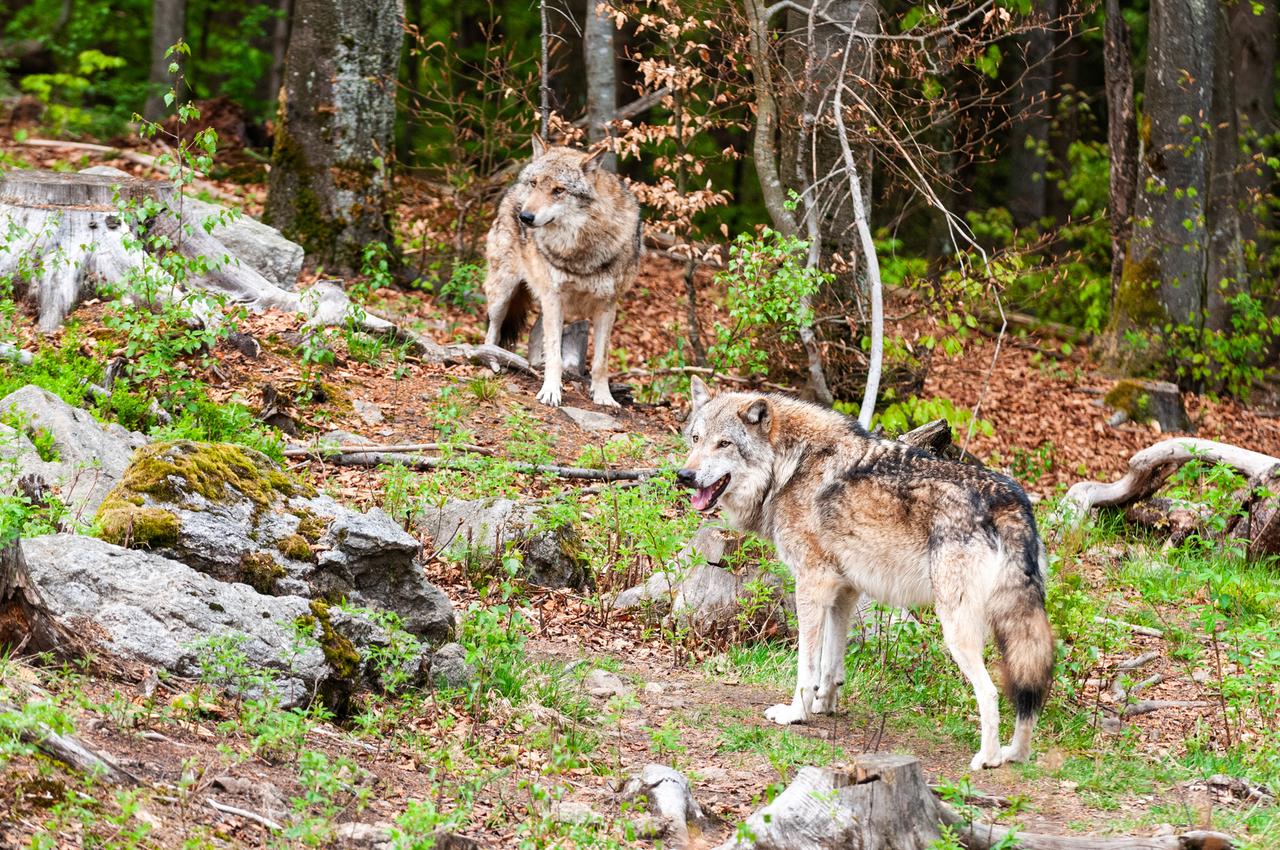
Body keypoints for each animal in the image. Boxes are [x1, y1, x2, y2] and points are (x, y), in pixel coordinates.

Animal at [483, 136, 642, 408]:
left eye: (559, 190)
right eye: (535, 184)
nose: (525, 216)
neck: (581, 251)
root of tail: (512, 190)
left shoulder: (607, 306)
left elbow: (601, 361)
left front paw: (604, 397)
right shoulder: (553, 298)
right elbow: (556, 354)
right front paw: (550, 392)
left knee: (535, 335)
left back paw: (534, 366)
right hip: (503, 295)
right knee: (492, 333)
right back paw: (492, 361)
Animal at [676, 378, 1054, 770]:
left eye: (724, 444)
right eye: (696, 438)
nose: (684, 476)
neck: (789, 466)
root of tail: (1011, 501)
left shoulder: (811, 584)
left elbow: (806, 666)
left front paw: (796, 713)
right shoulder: (844, 591)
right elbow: (831, 664)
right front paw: (825, 705)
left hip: (957, 628)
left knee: (991, 692)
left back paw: (988, 758)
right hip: (1013, 624)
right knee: (1031, 694)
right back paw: (1016, 754)